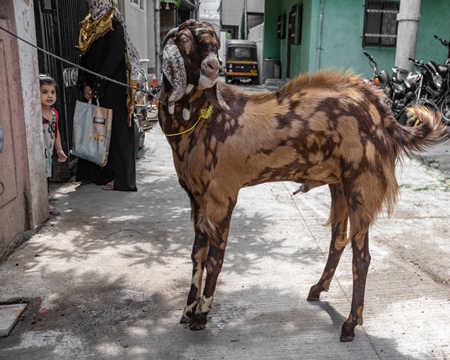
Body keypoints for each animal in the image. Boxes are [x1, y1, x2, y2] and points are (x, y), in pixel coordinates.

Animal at [158, 19, 446, 340]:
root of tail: (384, 116)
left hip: (361, 185)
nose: (212, 67)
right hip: (339, 185)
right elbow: (196, 254)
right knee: (338, 240)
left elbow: (214, 259)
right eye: (184, 39)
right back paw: (318, 290)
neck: (206, 119)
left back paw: (350, 324)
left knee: (362, 257)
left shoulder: (223, 194)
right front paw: (186, 311)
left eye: (216, 45)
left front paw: (201, 316)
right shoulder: (196, 197)